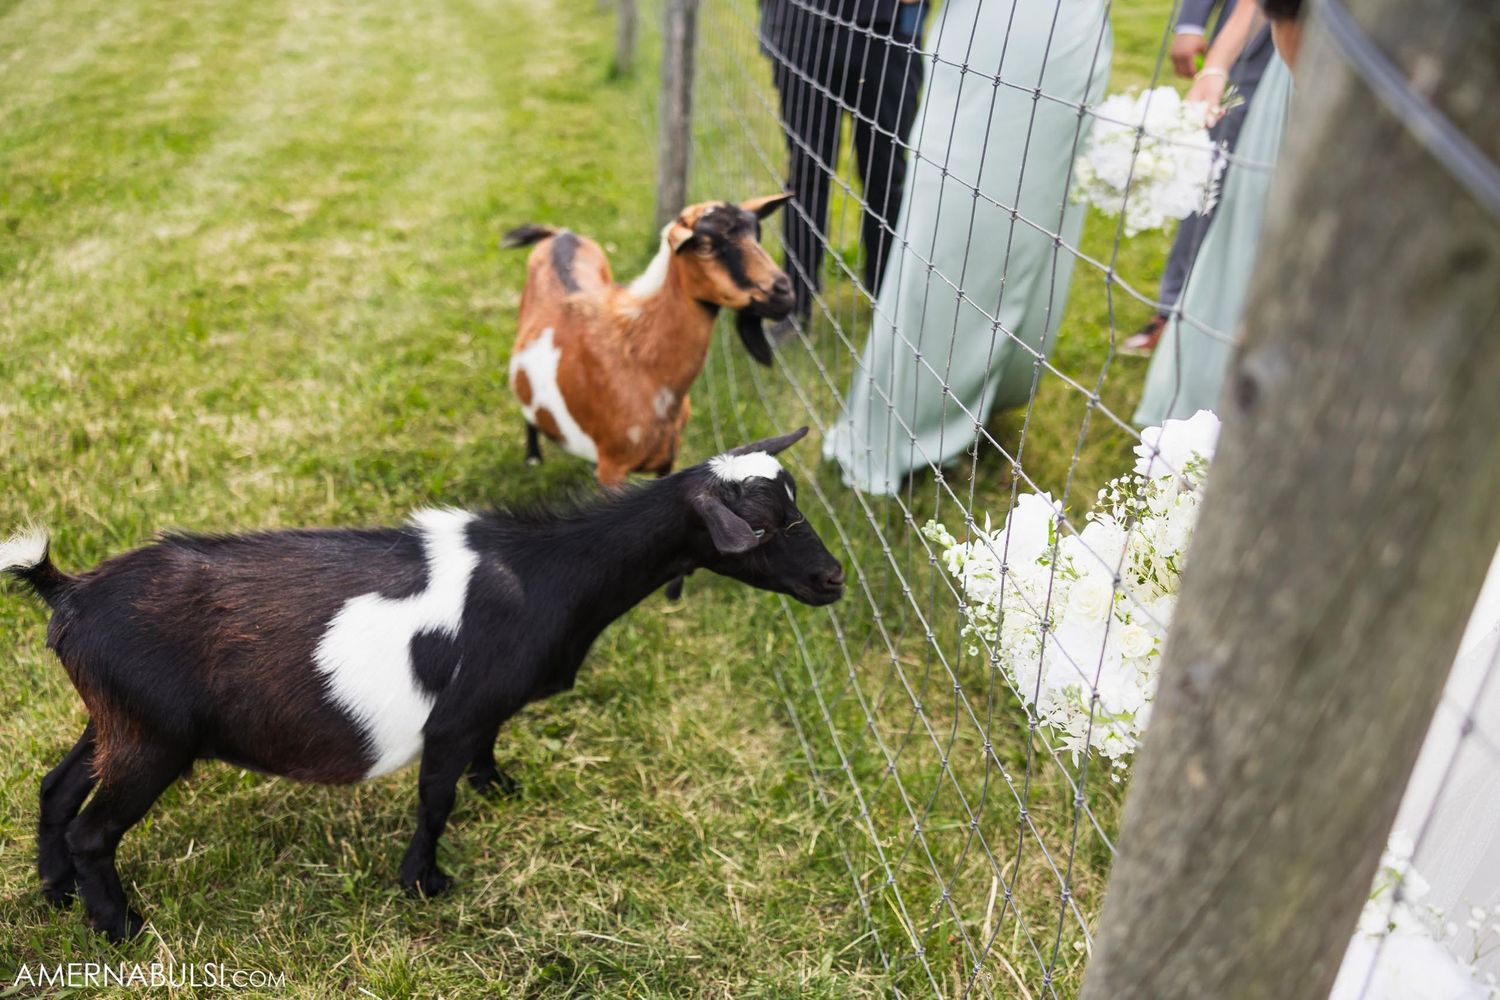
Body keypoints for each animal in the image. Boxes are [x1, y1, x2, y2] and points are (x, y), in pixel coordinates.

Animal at [2, 428, 843, 941]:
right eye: (764, 527)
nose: (833, 579)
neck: (549, 572)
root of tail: (68, 593)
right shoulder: (453, 718)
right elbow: (435, 801)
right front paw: (424, 882)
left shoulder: (486, 708)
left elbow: (489, 747)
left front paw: (498, 785)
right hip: (152, 741)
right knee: (92, 829)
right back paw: (120, 927)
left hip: (115, 720)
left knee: (55, 787)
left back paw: (55, 892)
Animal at [504, 195, 796, 486]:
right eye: (704, 245)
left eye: (756, 233)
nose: (783, 292)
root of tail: (562, 234)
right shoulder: (613, 466)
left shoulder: (669, 455)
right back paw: (533, 458)